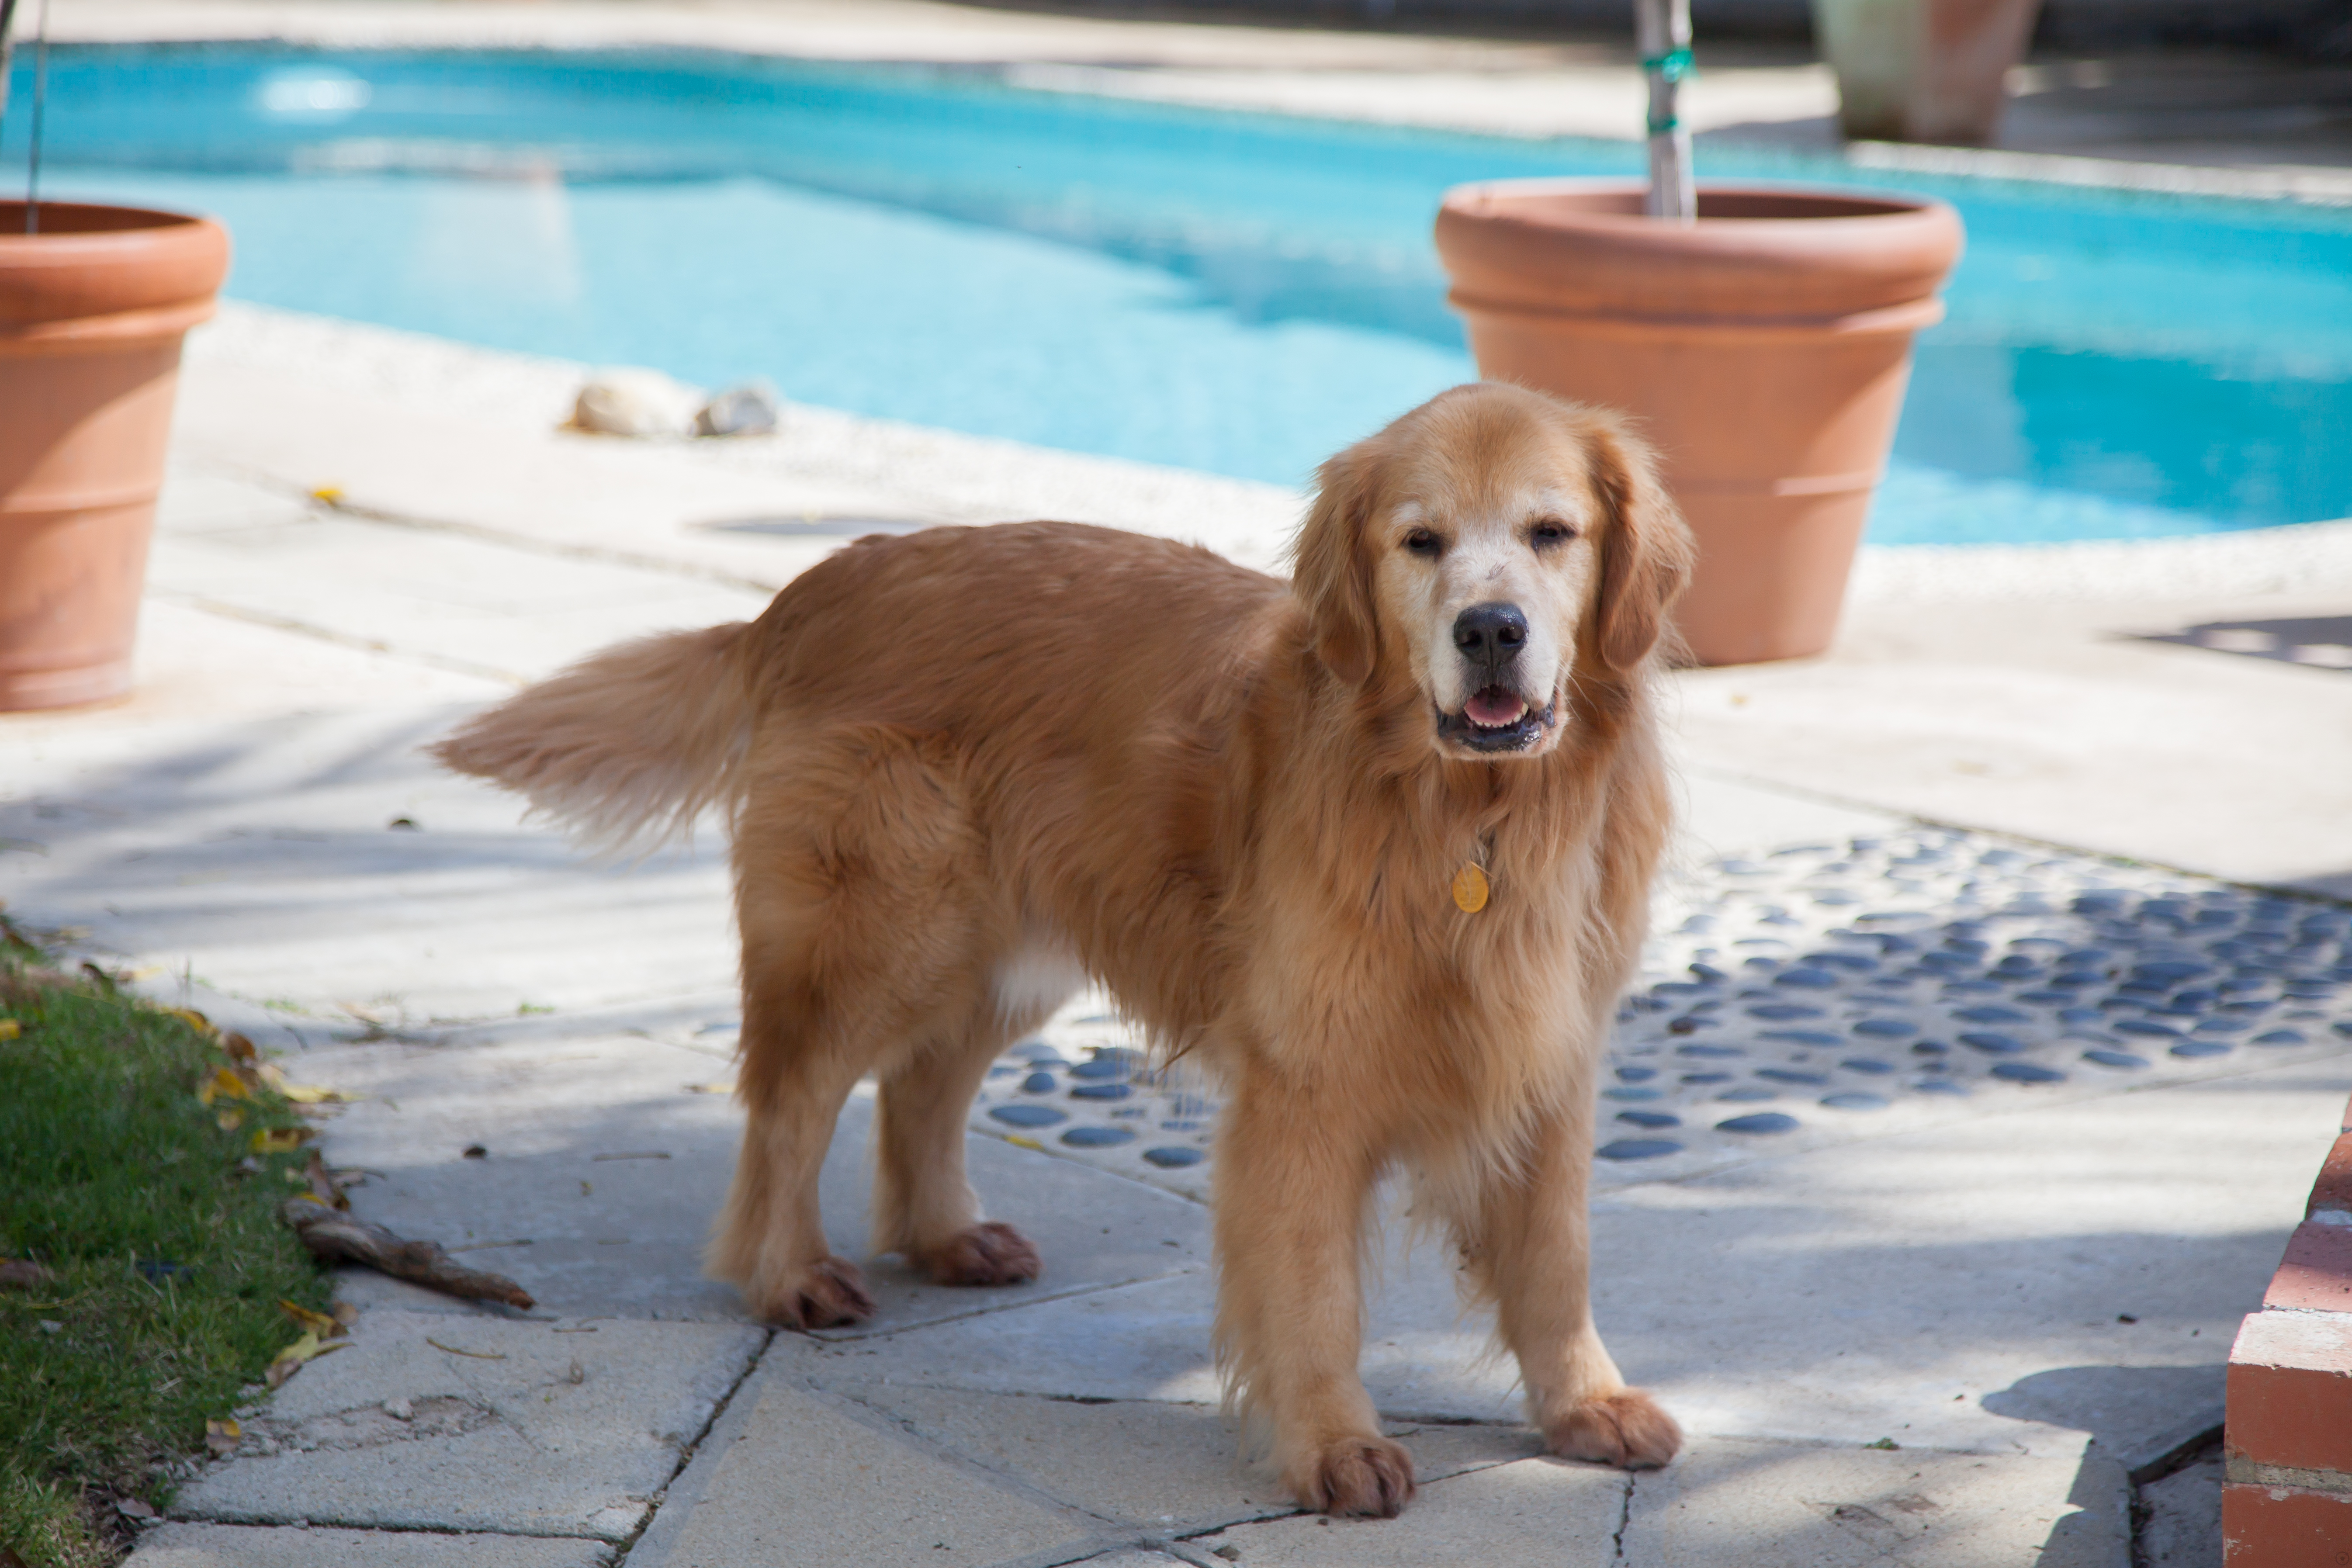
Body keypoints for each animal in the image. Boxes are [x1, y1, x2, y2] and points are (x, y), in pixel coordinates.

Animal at [433, 383, 1693, 1523]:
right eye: (1419, 541)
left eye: (1551, 533)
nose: (1490, 631)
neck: (1472, 818)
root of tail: (812, 587)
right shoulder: (1303, 1086)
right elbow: (1314, 1286)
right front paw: (1333, 1443)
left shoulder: (1553, 1054)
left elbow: (1556, 1253)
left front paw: (1584, 1404)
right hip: (880, 934)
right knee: (792, 1104)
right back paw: (788, 1273)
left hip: (999, 952)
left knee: (919, 1088)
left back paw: (944, 1235)